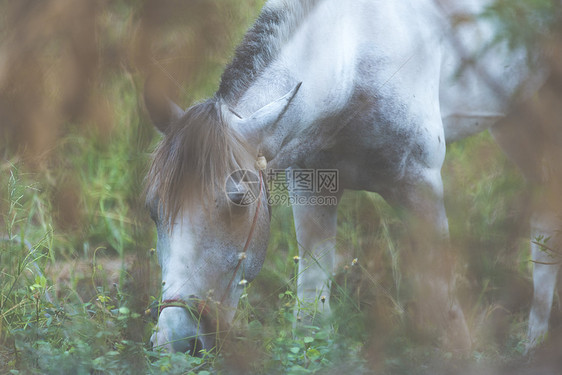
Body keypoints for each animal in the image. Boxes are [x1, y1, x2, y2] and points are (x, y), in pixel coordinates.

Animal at [144, 0, 560, 356]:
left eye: (239, 200)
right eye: (152, 209)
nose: (176, 340)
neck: (353, 65)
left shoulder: (422, 185)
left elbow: (444, 302)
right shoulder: (310, 184)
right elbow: (311, 312)